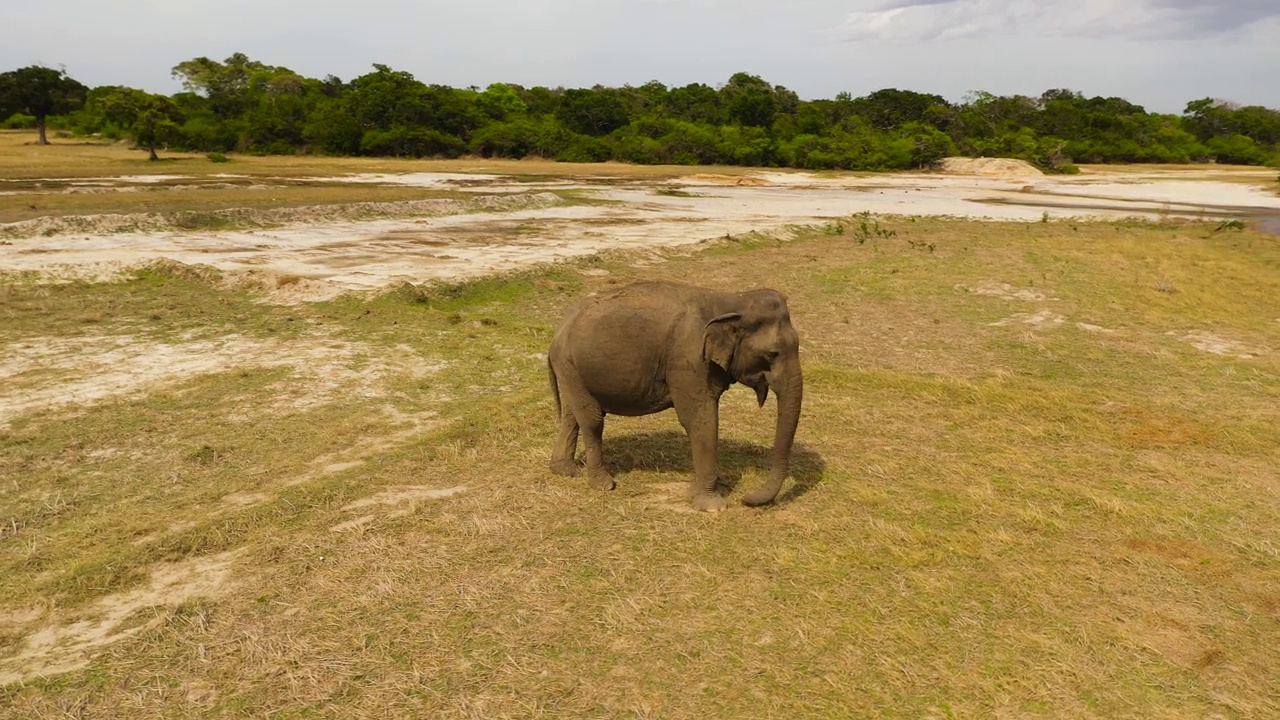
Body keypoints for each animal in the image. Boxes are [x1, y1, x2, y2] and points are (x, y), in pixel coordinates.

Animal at [545, 278, 803, 507]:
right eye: (772, 354)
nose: (745, 498)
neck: (732, 299)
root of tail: (557, 333)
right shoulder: (688, 361)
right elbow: (701, 419)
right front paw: (711, 505)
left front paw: (695, 492)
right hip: (570, 364)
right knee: (592, 420)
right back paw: (604, 485)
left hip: (571, 370)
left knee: (571, 415)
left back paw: (565, 470)